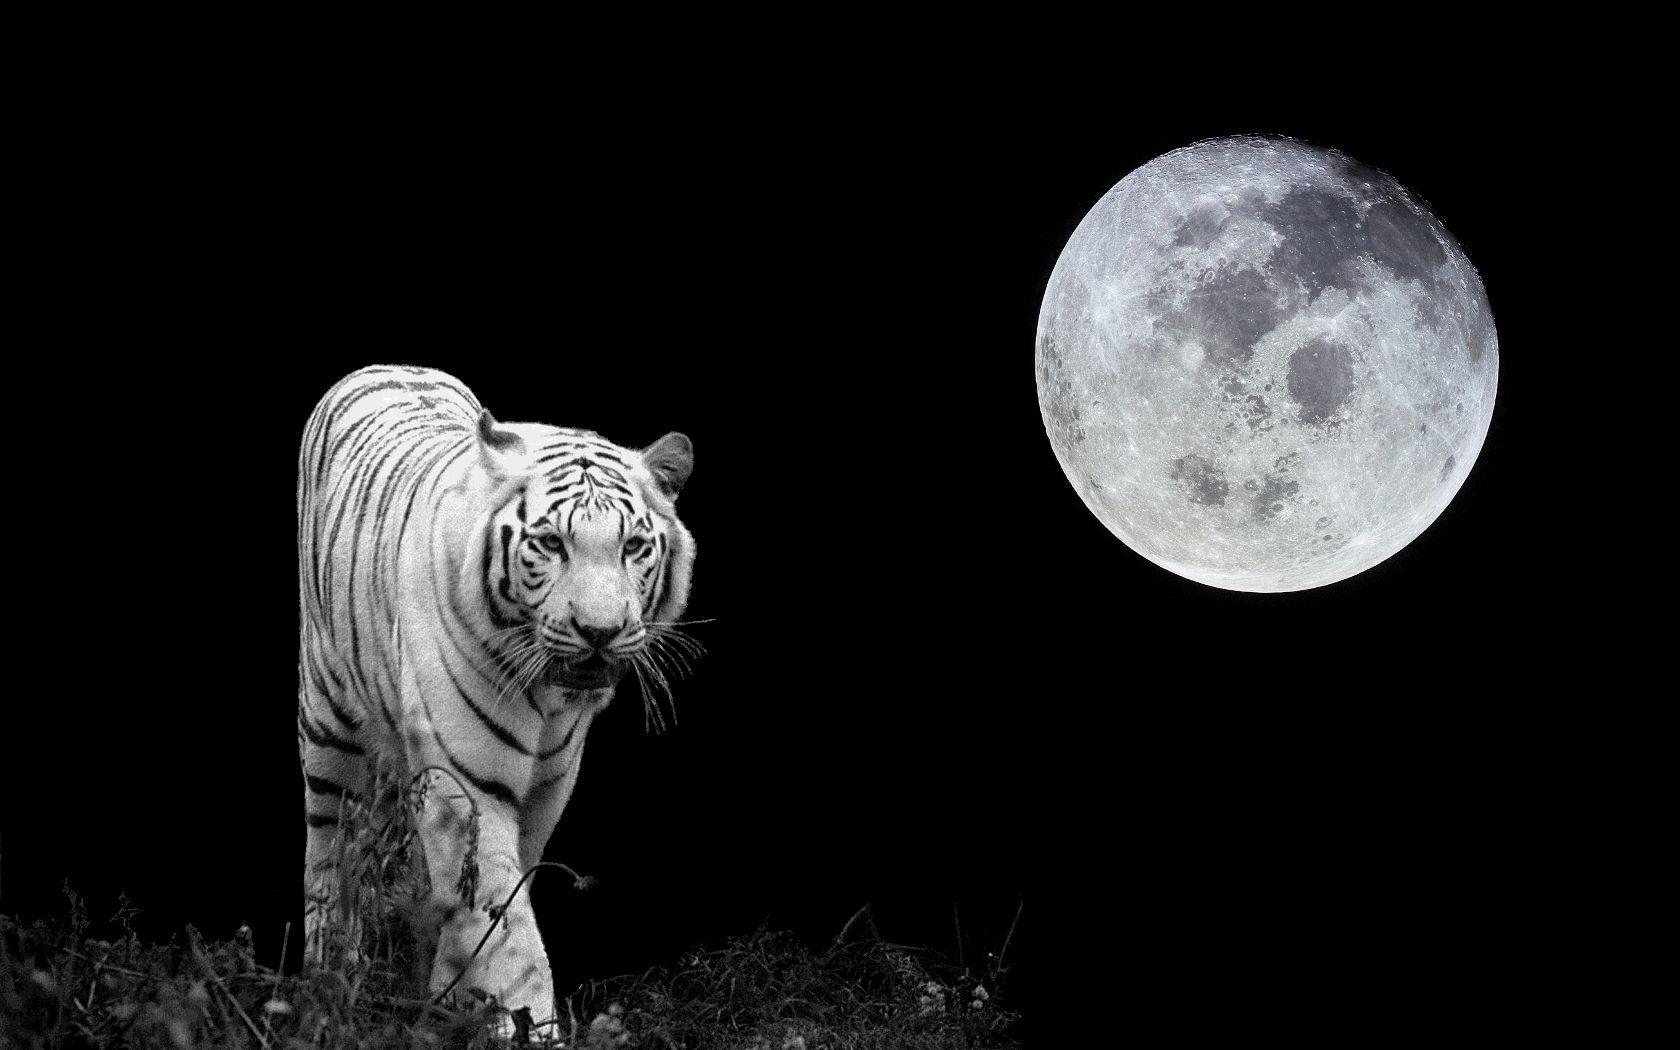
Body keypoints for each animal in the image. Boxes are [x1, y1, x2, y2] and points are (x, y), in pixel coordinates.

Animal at [296, 365, 696, 1027]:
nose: (600, 631)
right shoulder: (471, 781)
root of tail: (387, 365)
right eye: (552, 544)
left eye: (634, 547)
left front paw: (456, 993)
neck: (551, 699)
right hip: (328, 725)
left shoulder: (548, 784)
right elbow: (502, 919)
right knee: (331, 849)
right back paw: (328, 977)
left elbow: (495, 894)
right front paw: (522, 1018)